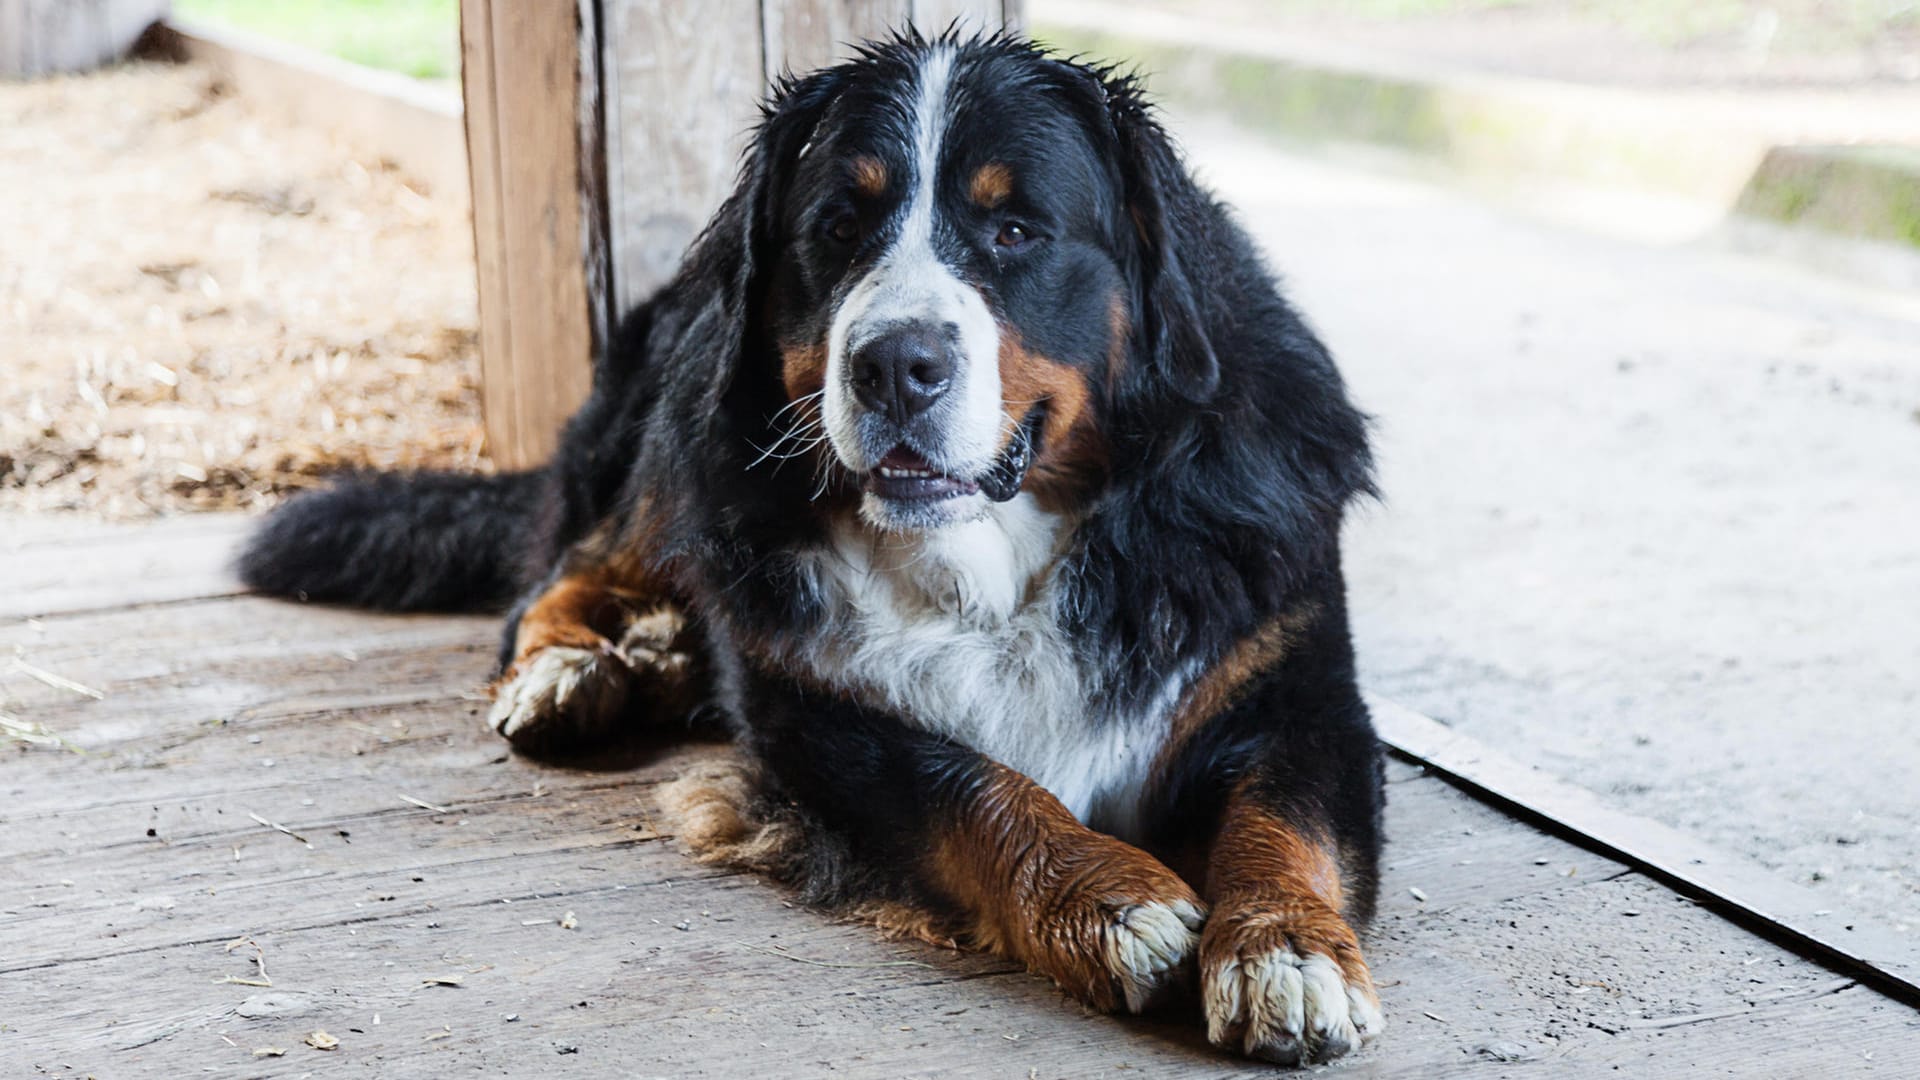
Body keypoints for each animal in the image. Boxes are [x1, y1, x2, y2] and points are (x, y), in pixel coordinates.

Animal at [243, 31, 1382, 1060]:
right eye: (837, 227)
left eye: (1016, 229)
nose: (896, 364)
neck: (994, 558)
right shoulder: (817, 710)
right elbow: (968, 786)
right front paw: (1111, 901)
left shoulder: (1293, 678)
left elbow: (1282, 819)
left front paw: (1285, 952)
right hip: (684, 452)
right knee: (562, 575)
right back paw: (573, 671)